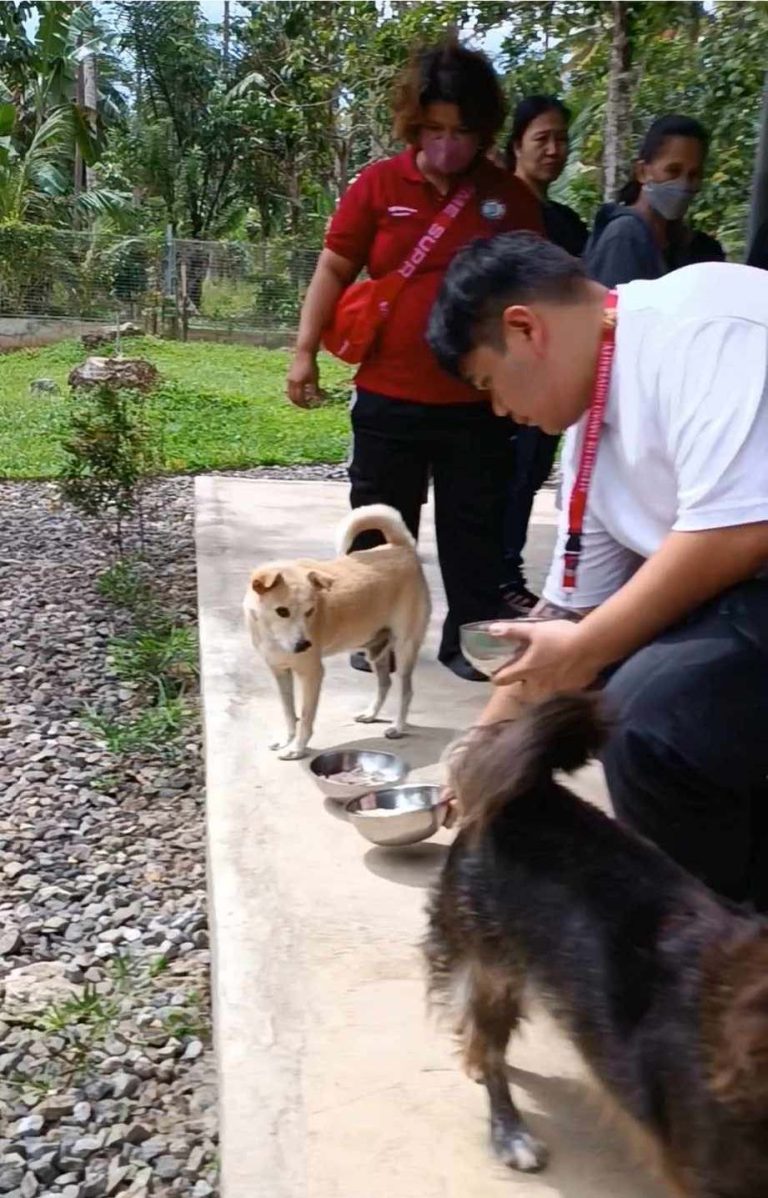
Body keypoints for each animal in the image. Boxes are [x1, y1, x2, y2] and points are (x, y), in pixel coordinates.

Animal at [242, 505, 428, 757]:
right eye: (282, 611)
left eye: (310, 611)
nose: (304, 645)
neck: (273, 637)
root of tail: (401, 547)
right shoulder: (280, 672)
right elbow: (289, 712)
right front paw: (286, 739)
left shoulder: (312, 674)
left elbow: (306, 716)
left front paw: (297, 748)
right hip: (375, 650)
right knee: (385, 683)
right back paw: (371, 714)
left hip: (405, 647)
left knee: (406, 691)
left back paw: (398, 727)